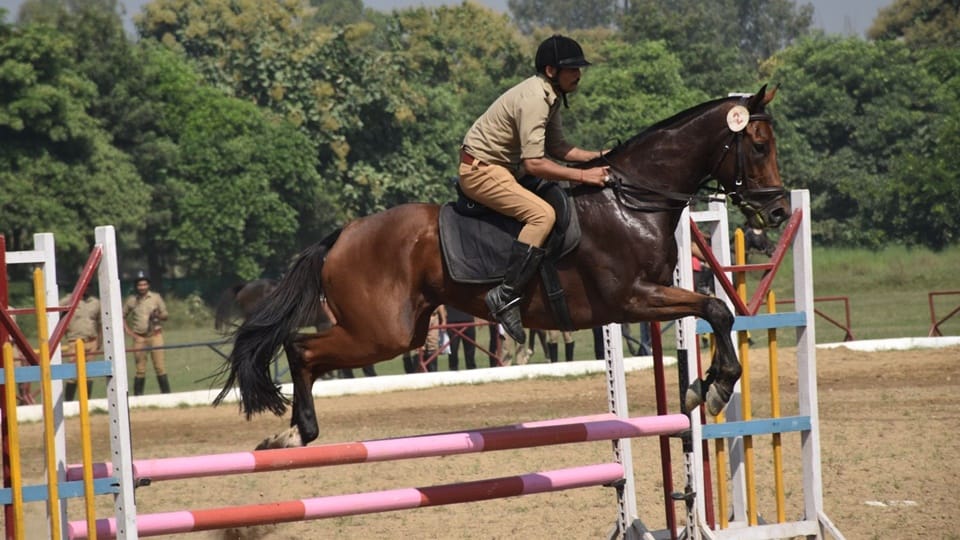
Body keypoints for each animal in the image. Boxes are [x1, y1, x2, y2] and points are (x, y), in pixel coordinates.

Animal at [214, 85, 791, 449]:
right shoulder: (630, 298)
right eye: (760, 145)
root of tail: (342, 235)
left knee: (305, 351)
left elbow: (715, 312)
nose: (781, 211)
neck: (631, 198)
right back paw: (295, 432)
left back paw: (293, 432)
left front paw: (703, 385)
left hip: (406, 327)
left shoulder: (646, 298)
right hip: (382, 331)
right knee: (302, 350)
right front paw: (713, 389)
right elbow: (717, 309)